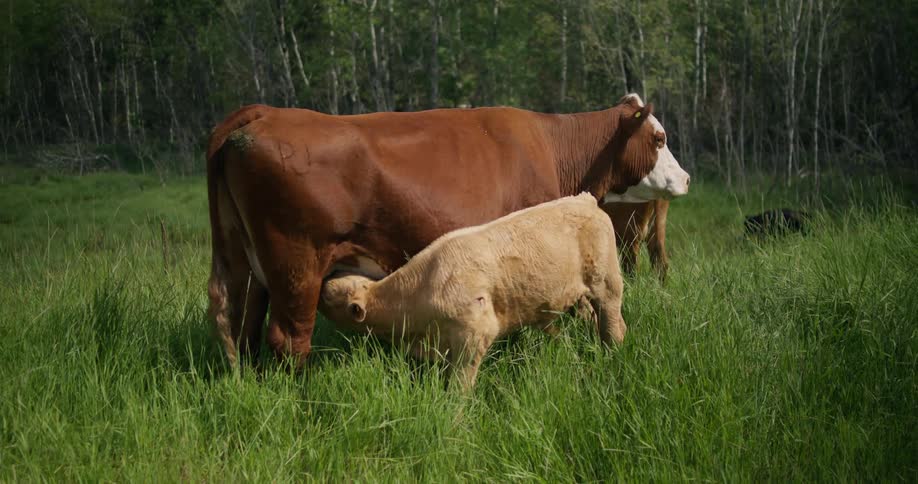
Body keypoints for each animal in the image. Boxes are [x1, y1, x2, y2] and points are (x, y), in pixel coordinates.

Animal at [206, 93, 690, 367]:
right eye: (660, 138)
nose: (686, 178)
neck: (555, 148)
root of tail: (263, 114)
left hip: (243, 261)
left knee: (235, 320)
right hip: (297, 264)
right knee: (288, 339)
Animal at [320, 193, 624, 390]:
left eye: (327, 297)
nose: (325, 275)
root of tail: (584, 199)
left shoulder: (475, 332)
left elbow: (460, 385)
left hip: (607, 282)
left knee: (614, 324)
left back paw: (613, 357)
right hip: (579, 294)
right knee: (594, 318)